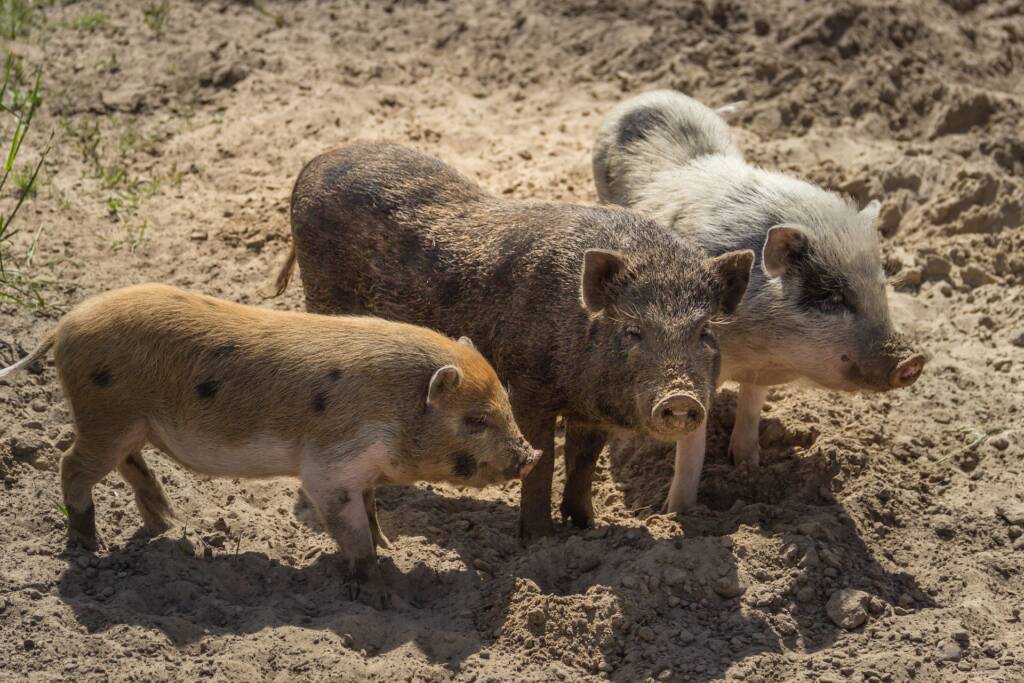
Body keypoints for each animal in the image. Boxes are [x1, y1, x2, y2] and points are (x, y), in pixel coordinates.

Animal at [0, 284, 540, 585]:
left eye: (505, 404)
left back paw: (167, 525)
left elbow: (372, 513)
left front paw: (390, 548)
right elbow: (350, 528)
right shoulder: (329, 468)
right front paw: (376, 590)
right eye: (475, 420)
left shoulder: (361, 472)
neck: (396, 410)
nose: (530, 455)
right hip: (105, 415)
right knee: (71, 464)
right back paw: (88, 546)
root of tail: (64, 326)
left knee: (128, 466)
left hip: (127, 423)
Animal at [273, 142, 754, 539]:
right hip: (321, 292)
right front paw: (537, 539)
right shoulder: (528, 388)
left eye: (705, 333)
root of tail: (315, 163)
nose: (681, 399)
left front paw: (587, 528)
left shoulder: (591, 412)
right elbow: (543, 462)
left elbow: (582, 464)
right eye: (633, 330)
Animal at [592, 90, 927, 513]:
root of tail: (652, 94)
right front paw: (675, 514)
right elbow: (691, 450)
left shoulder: (758, 372)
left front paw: (748, 467)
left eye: (881, 288)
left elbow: (751, 408)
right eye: (833, 297)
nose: (913, 360)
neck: (763, 348)